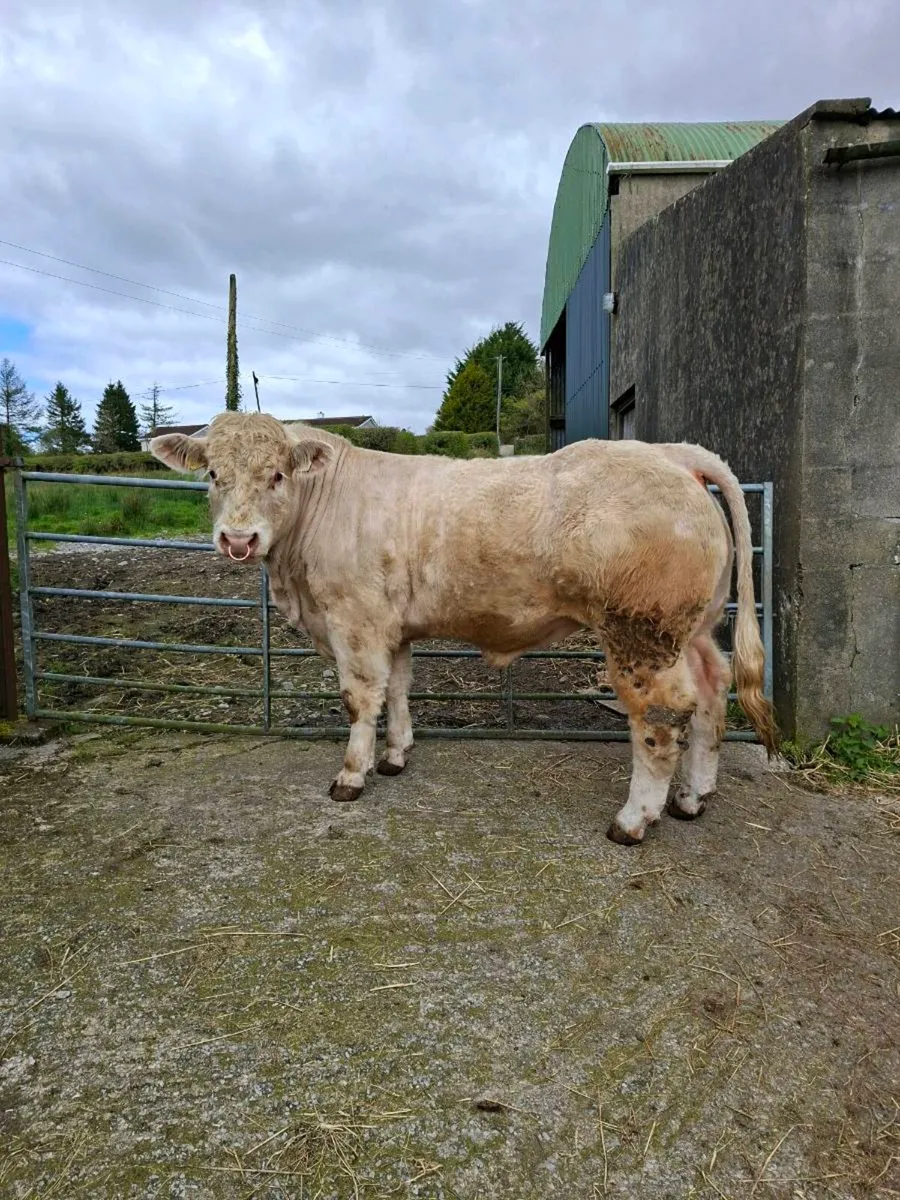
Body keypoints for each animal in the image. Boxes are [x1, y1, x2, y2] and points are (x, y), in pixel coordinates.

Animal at [150, 412, 777, 846]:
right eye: (213, 474)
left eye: (277, 475)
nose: (238, 539)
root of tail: (672, 453)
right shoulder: (393, 627)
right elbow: (398, 689)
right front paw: (395, 756)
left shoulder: (355, 620)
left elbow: (360, 699)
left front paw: (351, 775)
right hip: (691, 629)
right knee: (712, 693)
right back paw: (693, 797)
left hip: (639, 632)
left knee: (661, 716)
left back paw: (633, 819)